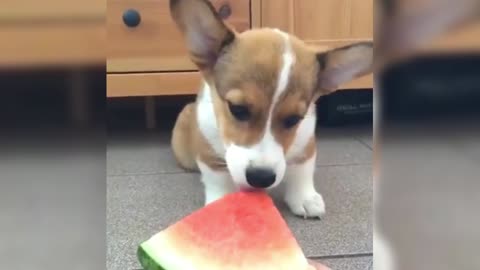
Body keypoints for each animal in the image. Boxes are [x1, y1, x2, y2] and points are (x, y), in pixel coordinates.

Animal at [171, 0, 374, 217]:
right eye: (237, 109)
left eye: (294, 119)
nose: (261, 178)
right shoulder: (207, 148)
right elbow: (218, 178)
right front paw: (223, 204)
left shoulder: (306, 140)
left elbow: (302, 169)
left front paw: (305, 197)